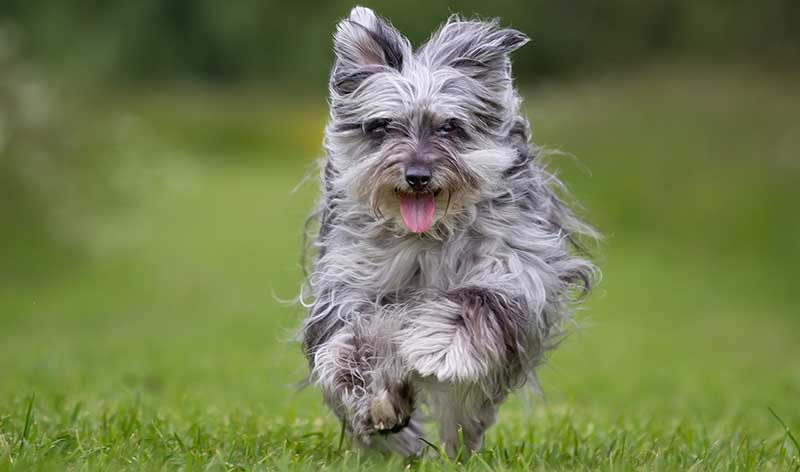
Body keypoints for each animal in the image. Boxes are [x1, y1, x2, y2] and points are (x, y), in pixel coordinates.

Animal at [298, 6, 592, 458]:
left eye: (450, 126)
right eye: (381, 126)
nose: (418, 175)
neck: (427, 239)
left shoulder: (515, 270)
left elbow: (471, 304)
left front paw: (438, 348)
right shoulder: (350, 285)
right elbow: (355, 340)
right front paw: (370, 394)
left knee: (468, 407)